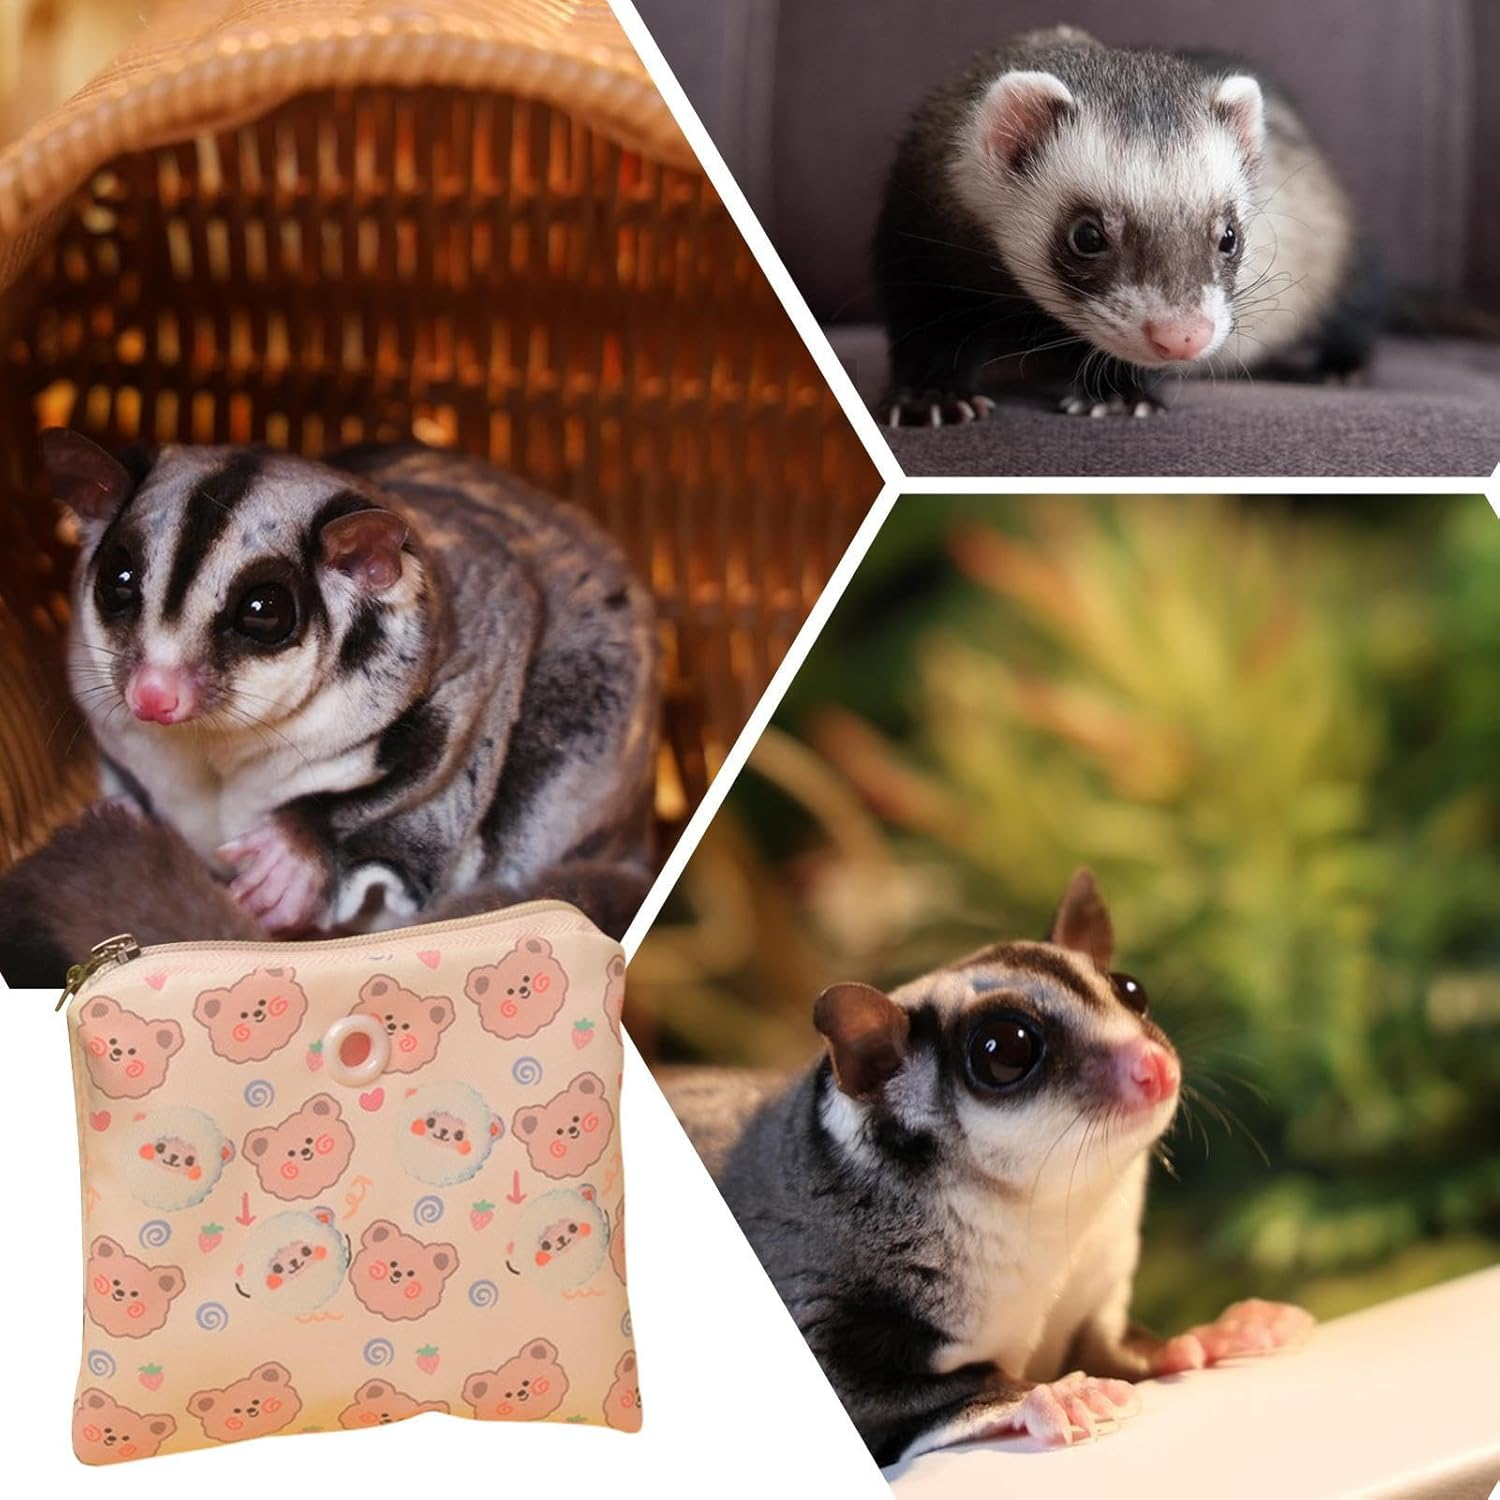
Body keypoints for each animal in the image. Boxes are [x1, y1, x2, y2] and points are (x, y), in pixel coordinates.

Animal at [39, 431, 658, 940]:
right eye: (119, 580)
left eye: (263, 610)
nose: (154, 693)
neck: (218, 741)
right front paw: (119, 815)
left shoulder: (482, 653)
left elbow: (434, 768)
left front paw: (295, 858)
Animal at [664, 870, 1314, 1465]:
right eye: (1004, 1050)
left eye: (1132, 991)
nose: (1155, 1065)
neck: (1035, 1212)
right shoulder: (816, 1293)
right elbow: (900, 1393)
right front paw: (1045, 1395)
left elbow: (1111, 1348)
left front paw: (1214, 1333)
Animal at [874, 26, 1373, 423]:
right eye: (1087, 235)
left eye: (1229, 235)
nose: (1183, 335)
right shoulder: (919, 256)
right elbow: (925, 332)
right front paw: (930, 397)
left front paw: (1115, 394)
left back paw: (1340, 369)